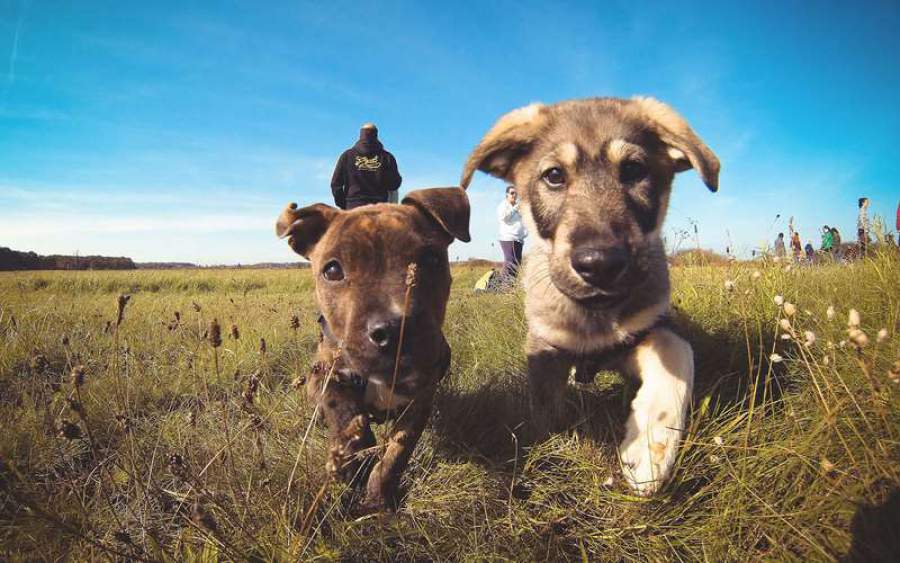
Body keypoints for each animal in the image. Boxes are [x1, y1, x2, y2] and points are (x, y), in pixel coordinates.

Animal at [274, 187, 472, 512]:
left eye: (431, 258)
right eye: (332, 270)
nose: (394, 329)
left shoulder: (420, 400)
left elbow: (397, 452)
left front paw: (378, 496)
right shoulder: (326, 377)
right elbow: (346, 418)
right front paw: (354, 459)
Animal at [460, 99, 720, 496]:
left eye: (633, 170)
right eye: (554, 175)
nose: (599, 265)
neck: (593, 320)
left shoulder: (650, 328)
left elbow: (678, 356)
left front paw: (650, 449)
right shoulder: (544, 347)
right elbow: (547, 410)